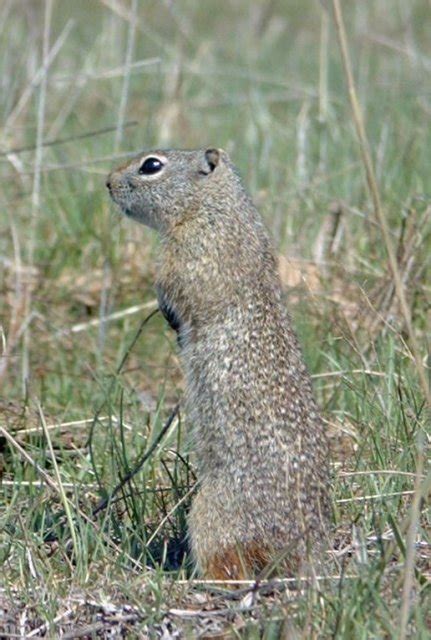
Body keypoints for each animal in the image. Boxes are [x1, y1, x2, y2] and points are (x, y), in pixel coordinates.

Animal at [106, 148, 332, 576]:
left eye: (151, 165)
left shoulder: (193, 253)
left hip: (212, 513)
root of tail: (300, 551)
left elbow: (176, 286)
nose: (107, 183)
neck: (211, 206)